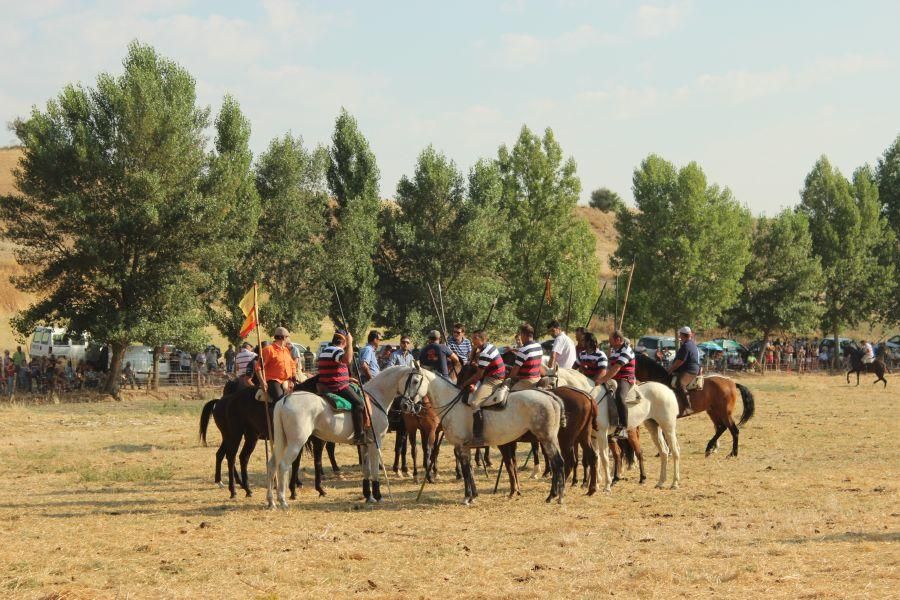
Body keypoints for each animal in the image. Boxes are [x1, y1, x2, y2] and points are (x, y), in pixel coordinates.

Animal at [266, 366, 410, 506]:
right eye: (413, 381)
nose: (407, 406)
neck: (376, 399)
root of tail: (286, 399)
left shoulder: (365, 444)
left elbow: (366, 468)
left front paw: (368, 496)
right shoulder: (377, 441)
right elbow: (375, 468)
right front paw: (378, 495)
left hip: (283, 440)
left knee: (273, 464)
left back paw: (272, 501)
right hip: (297, 442)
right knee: (284, 464)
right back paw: (283, 500)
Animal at [398, 366, 568, 506]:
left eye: (415, 381)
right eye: (406, 381)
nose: (404, 405)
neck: (454, 405)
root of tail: (551, 396)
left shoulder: (461, 447)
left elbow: (466, 470)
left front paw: (468, 497)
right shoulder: (463, 448)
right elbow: (469, 470)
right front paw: (473, 495)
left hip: (546, 438)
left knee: (558, 463)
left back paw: (557, 496)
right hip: (549, 439)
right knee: (556, 463)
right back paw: (552, 496)